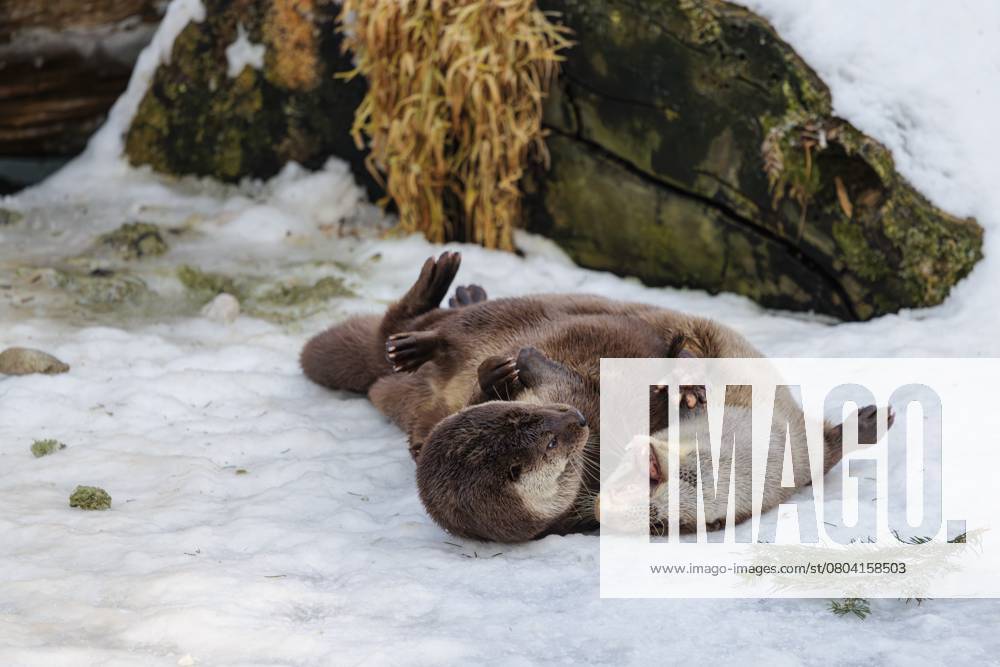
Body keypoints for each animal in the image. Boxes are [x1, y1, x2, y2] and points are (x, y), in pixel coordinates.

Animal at [301, 252, 889, 542]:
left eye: (656, 520)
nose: (606, 507)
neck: (762, 431)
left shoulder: (801, 446)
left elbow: (831, 445)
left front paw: (870, 422)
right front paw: (686, 390)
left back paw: (460, 306)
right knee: (409, 329)